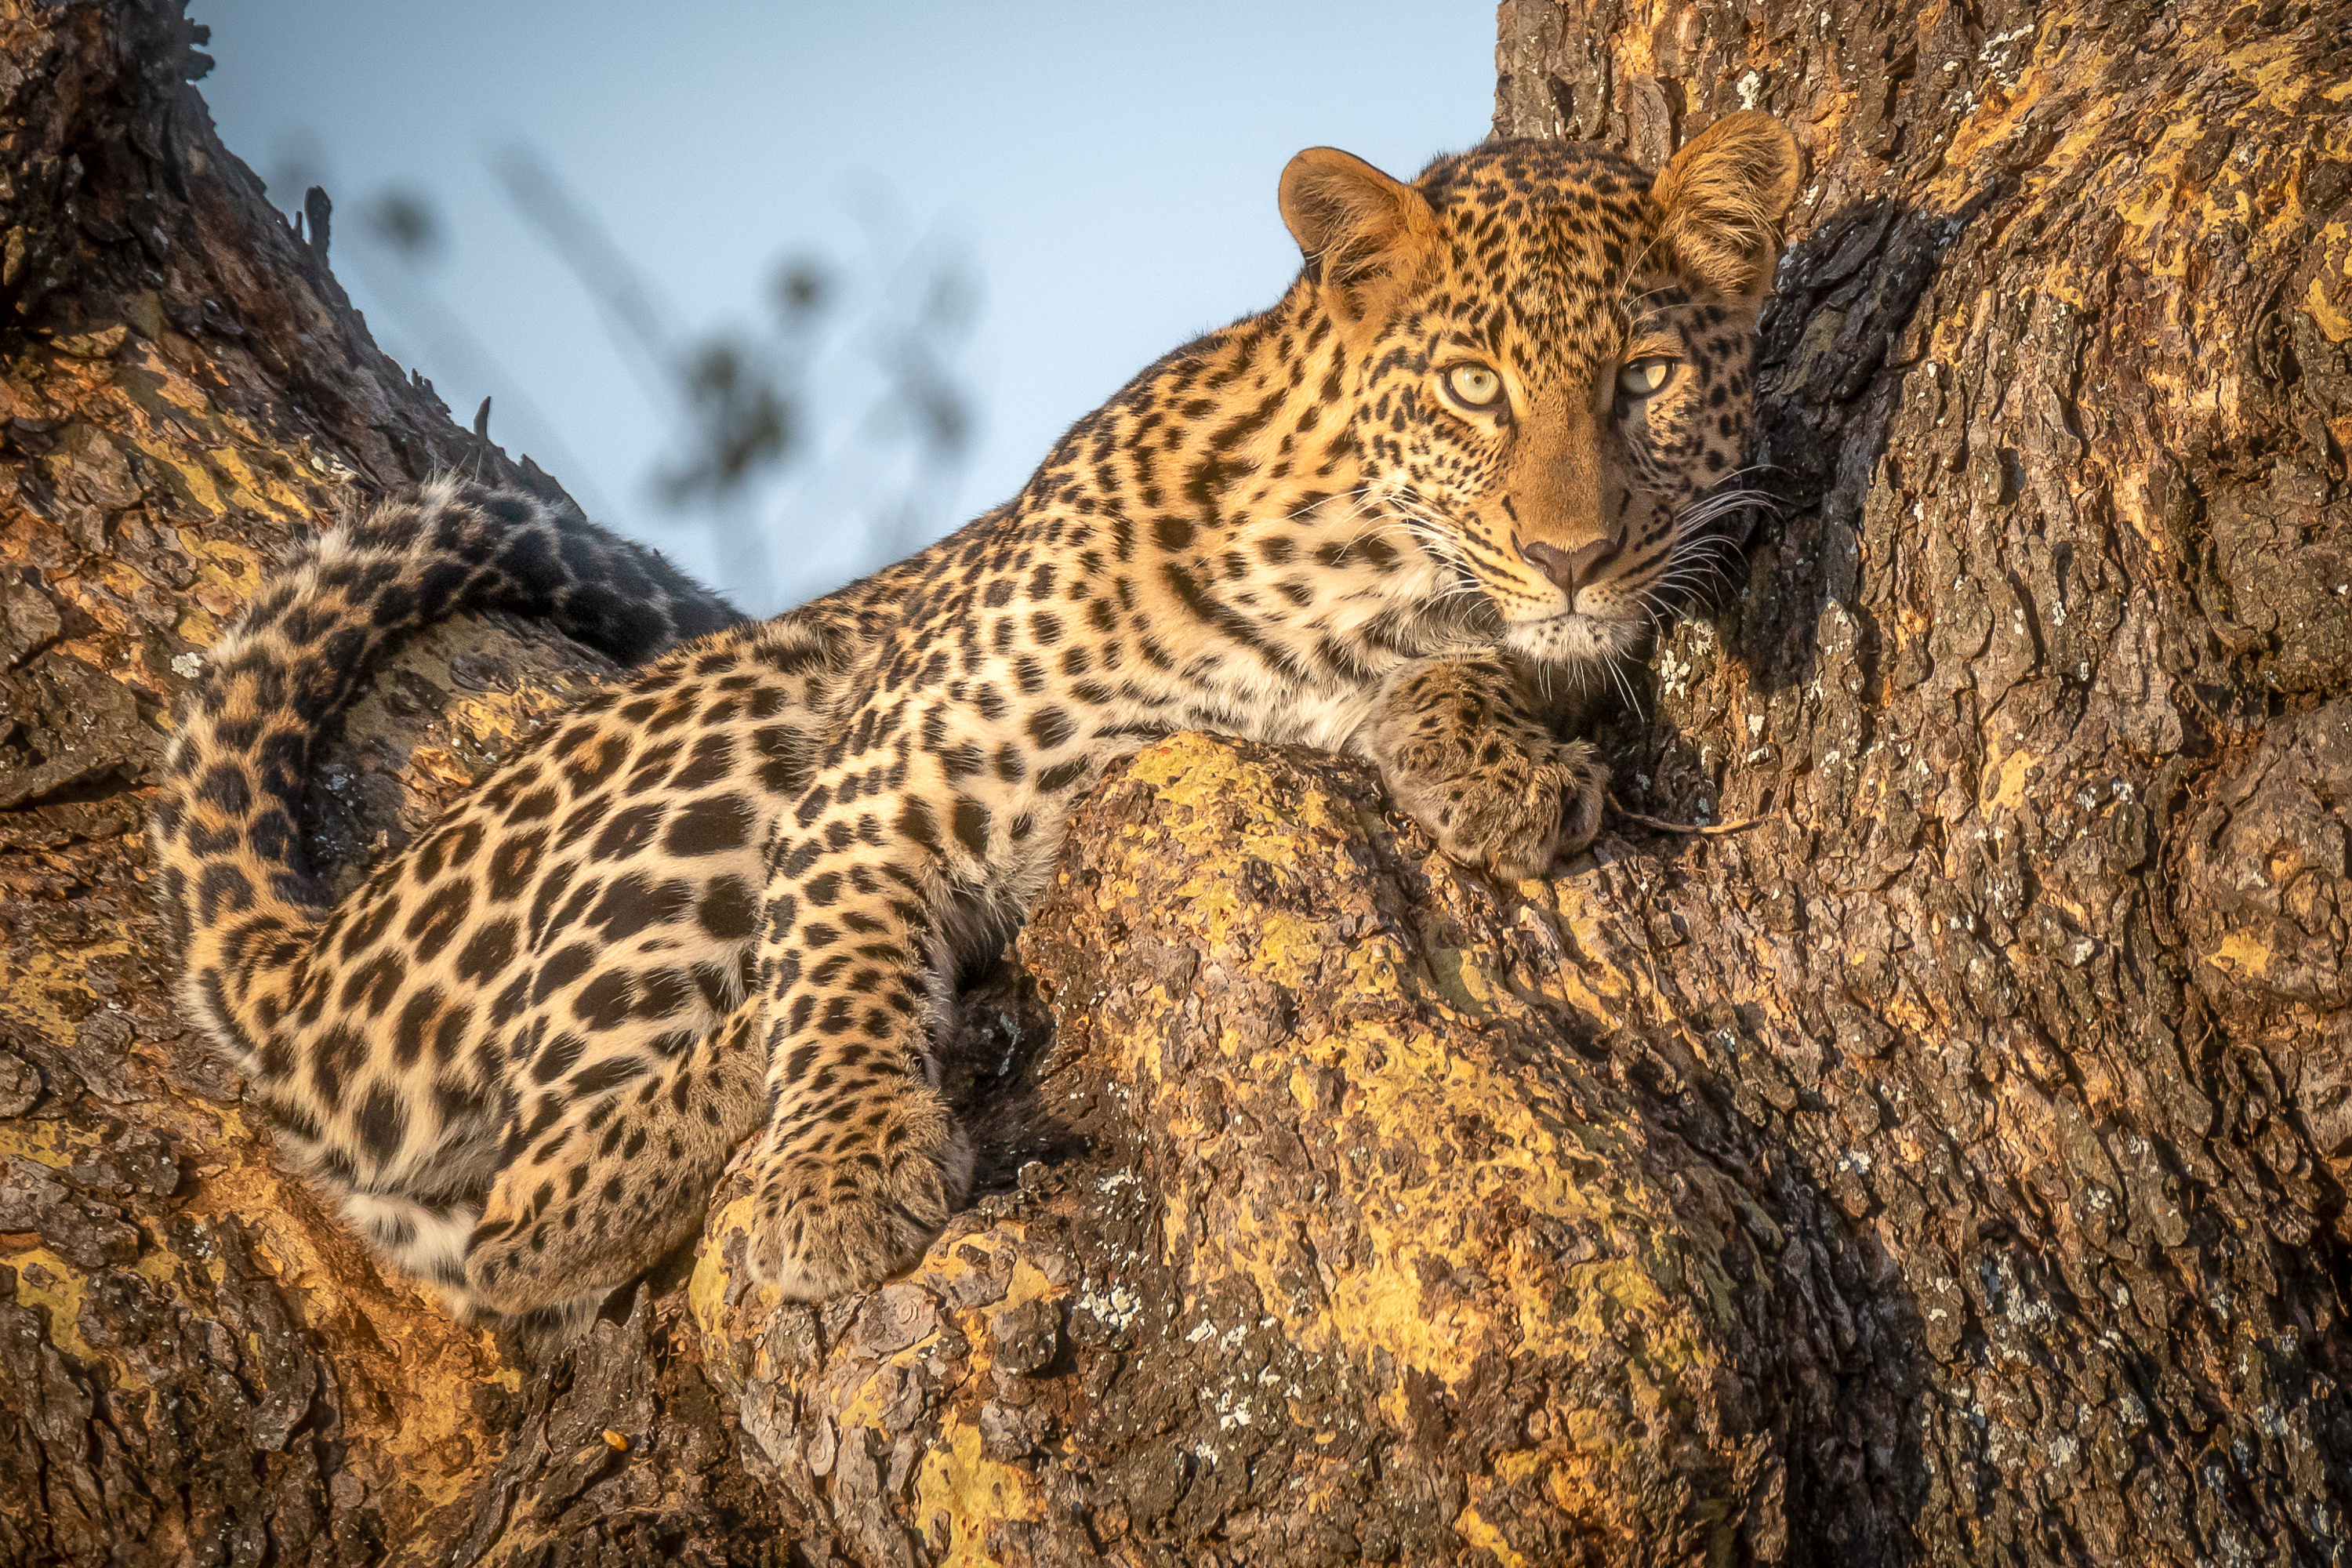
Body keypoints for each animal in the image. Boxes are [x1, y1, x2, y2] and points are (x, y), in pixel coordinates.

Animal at [151, 110, 1797, 1326]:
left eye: (1646, 378)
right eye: (1472, 386)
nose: (1573, 551)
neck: (1351, 569)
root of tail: (311, 957)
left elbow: (1492, 658)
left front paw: (1493, 757)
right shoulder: (879, 783)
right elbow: (838, 972)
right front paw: (839, 1175)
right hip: (742, 738)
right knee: (524, 1212)